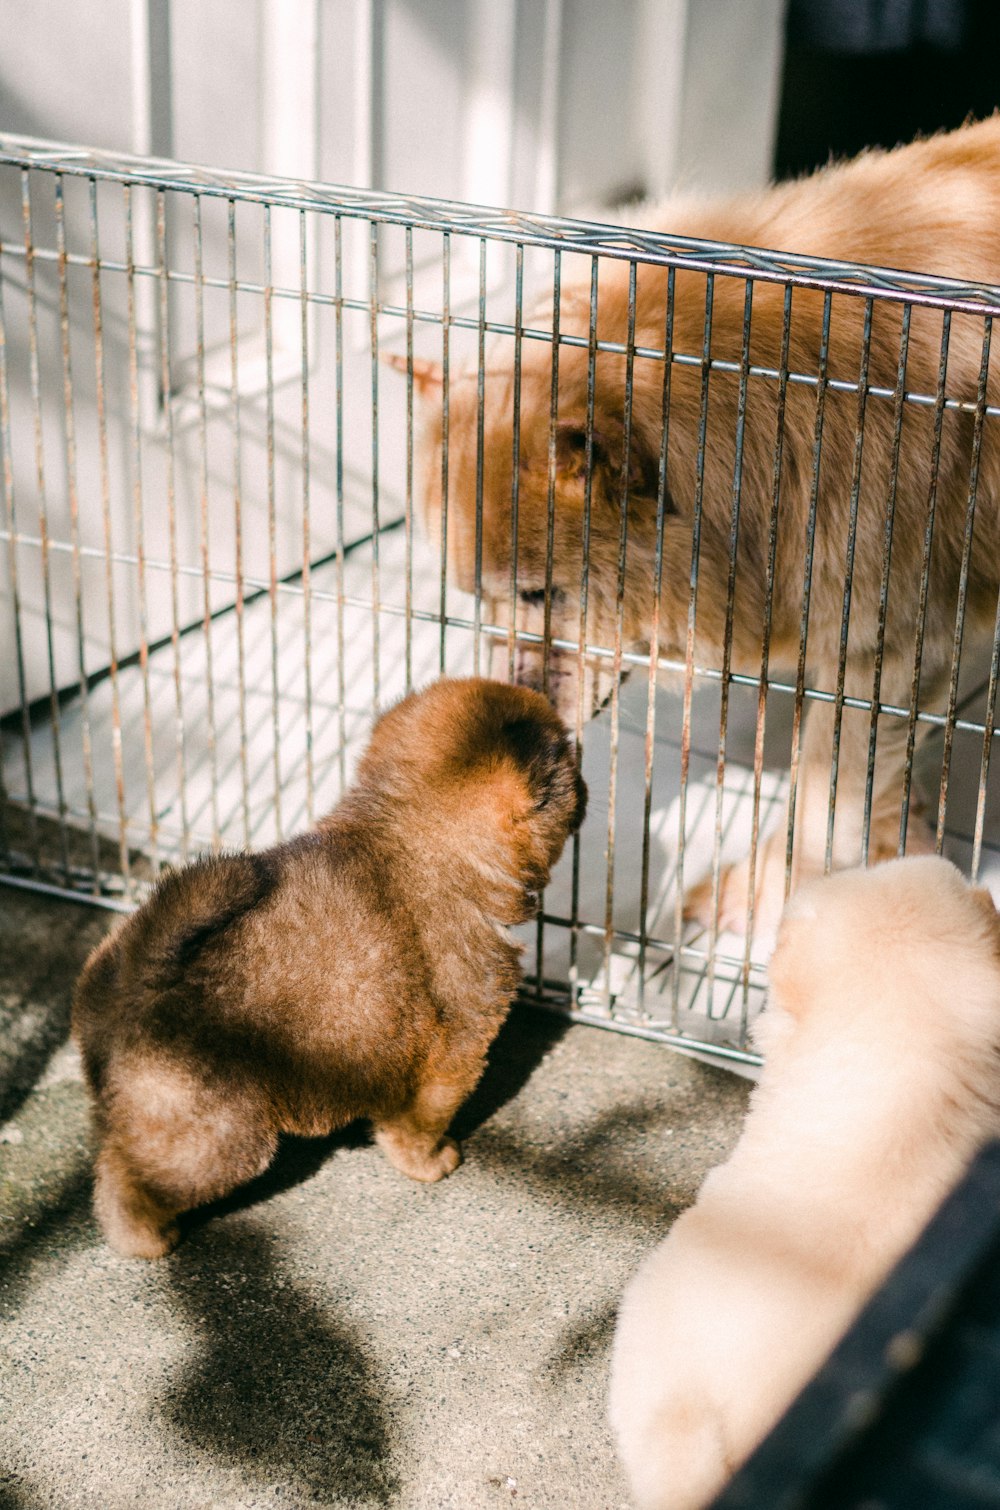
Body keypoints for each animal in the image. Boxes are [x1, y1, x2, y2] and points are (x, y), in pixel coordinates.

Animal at [74, 679, 589, 1256]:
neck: (424, 840)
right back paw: (148, 1239)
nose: (586, 778)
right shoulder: (454, 1054)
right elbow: (422, 1123)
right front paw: (430, 1163)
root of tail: (127, 981)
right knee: (130, 1184)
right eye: (569, 765)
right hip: (220, 1138)